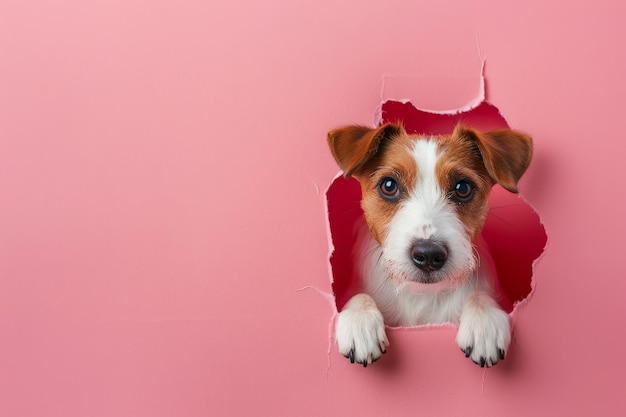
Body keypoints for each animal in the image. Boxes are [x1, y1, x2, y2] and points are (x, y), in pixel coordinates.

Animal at [326, 122, 532, 368]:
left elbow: (480, 295)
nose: (429, 255)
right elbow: (358, 296)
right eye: (389, 185)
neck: (421, 295)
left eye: (463, 188)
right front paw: (359, 320)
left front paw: (485, 321)